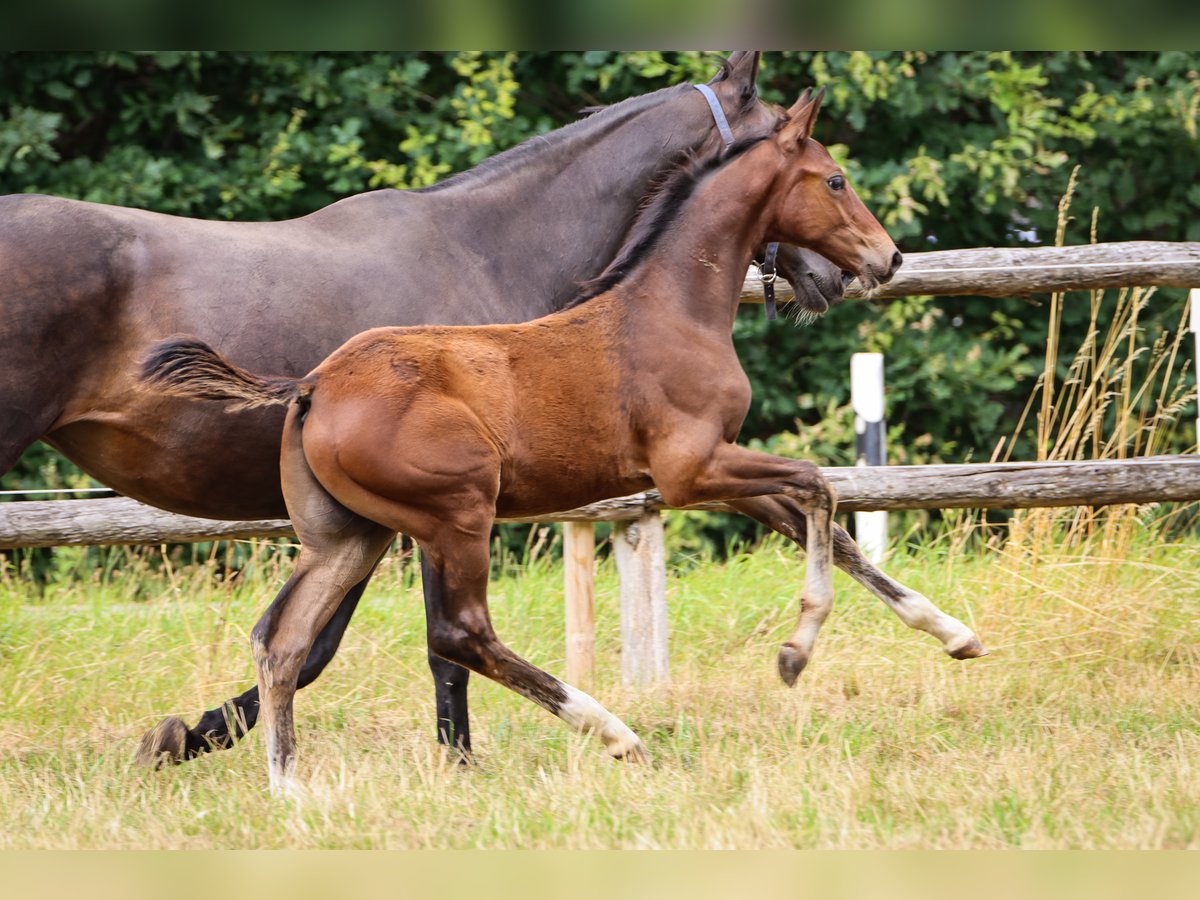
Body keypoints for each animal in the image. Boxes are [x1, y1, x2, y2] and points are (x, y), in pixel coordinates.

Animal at [142, 90, 984, 796]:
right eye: (834, 179)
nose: (887, 259)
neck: (668, 307)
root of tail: (312, 384)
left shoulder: (707, 467)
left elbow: (825, 525)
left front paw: (954, 634)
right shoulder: (691, 469)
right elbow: (818, 485)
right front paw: (794, 654)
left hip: (349, 532)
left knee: (283, 638)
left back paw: (288, 786)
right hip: (456, 512)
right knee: (459, 632)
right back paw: (615, 733)